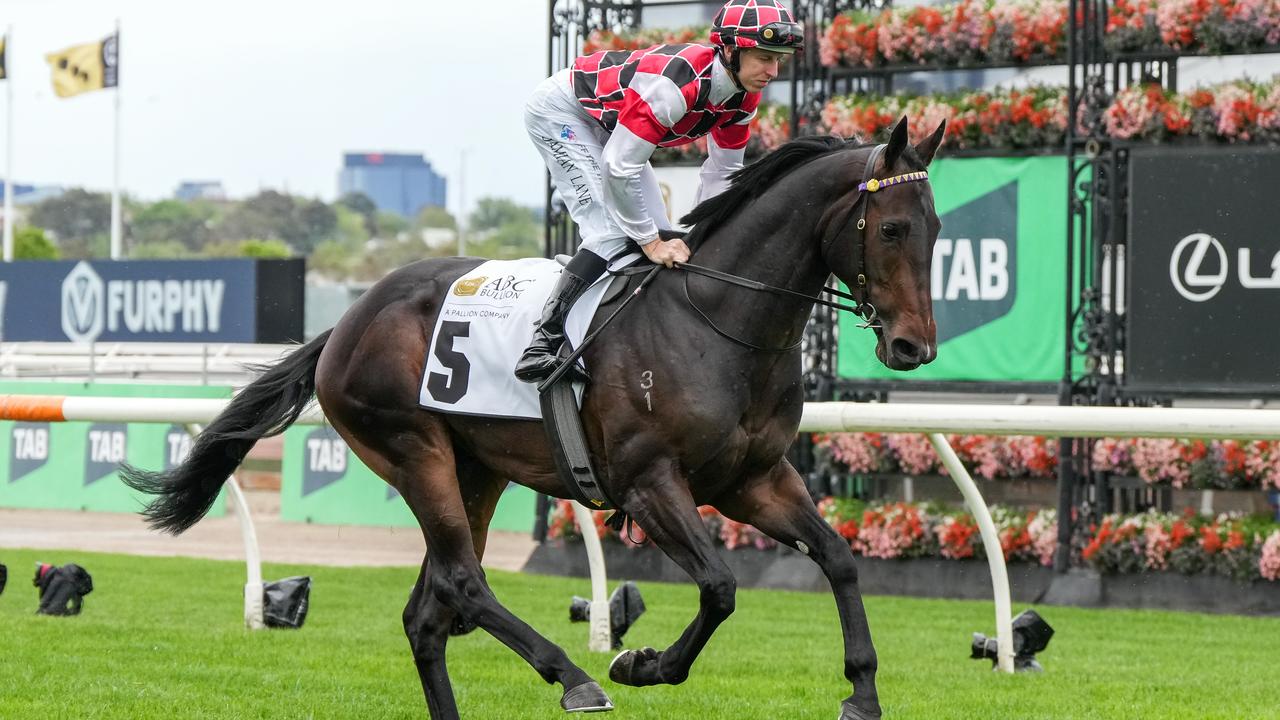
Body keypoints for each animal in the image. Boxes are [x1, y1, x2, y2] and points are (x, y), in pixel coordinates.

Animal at [122, 117, 942, 717]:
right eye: (891, 229)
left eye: (935, 230)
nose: (913, 345)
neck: (716, 320)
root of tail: (346, 322)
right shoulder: (649, 481)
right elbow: (719, 584)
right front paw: (640, 662)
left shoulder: (756, 480)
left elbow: (837, 557)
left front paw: (863, 691)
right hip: (413, 452)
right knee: (463, 584)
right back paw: (574, 676)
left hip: (476, 470)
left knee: (429, 611)